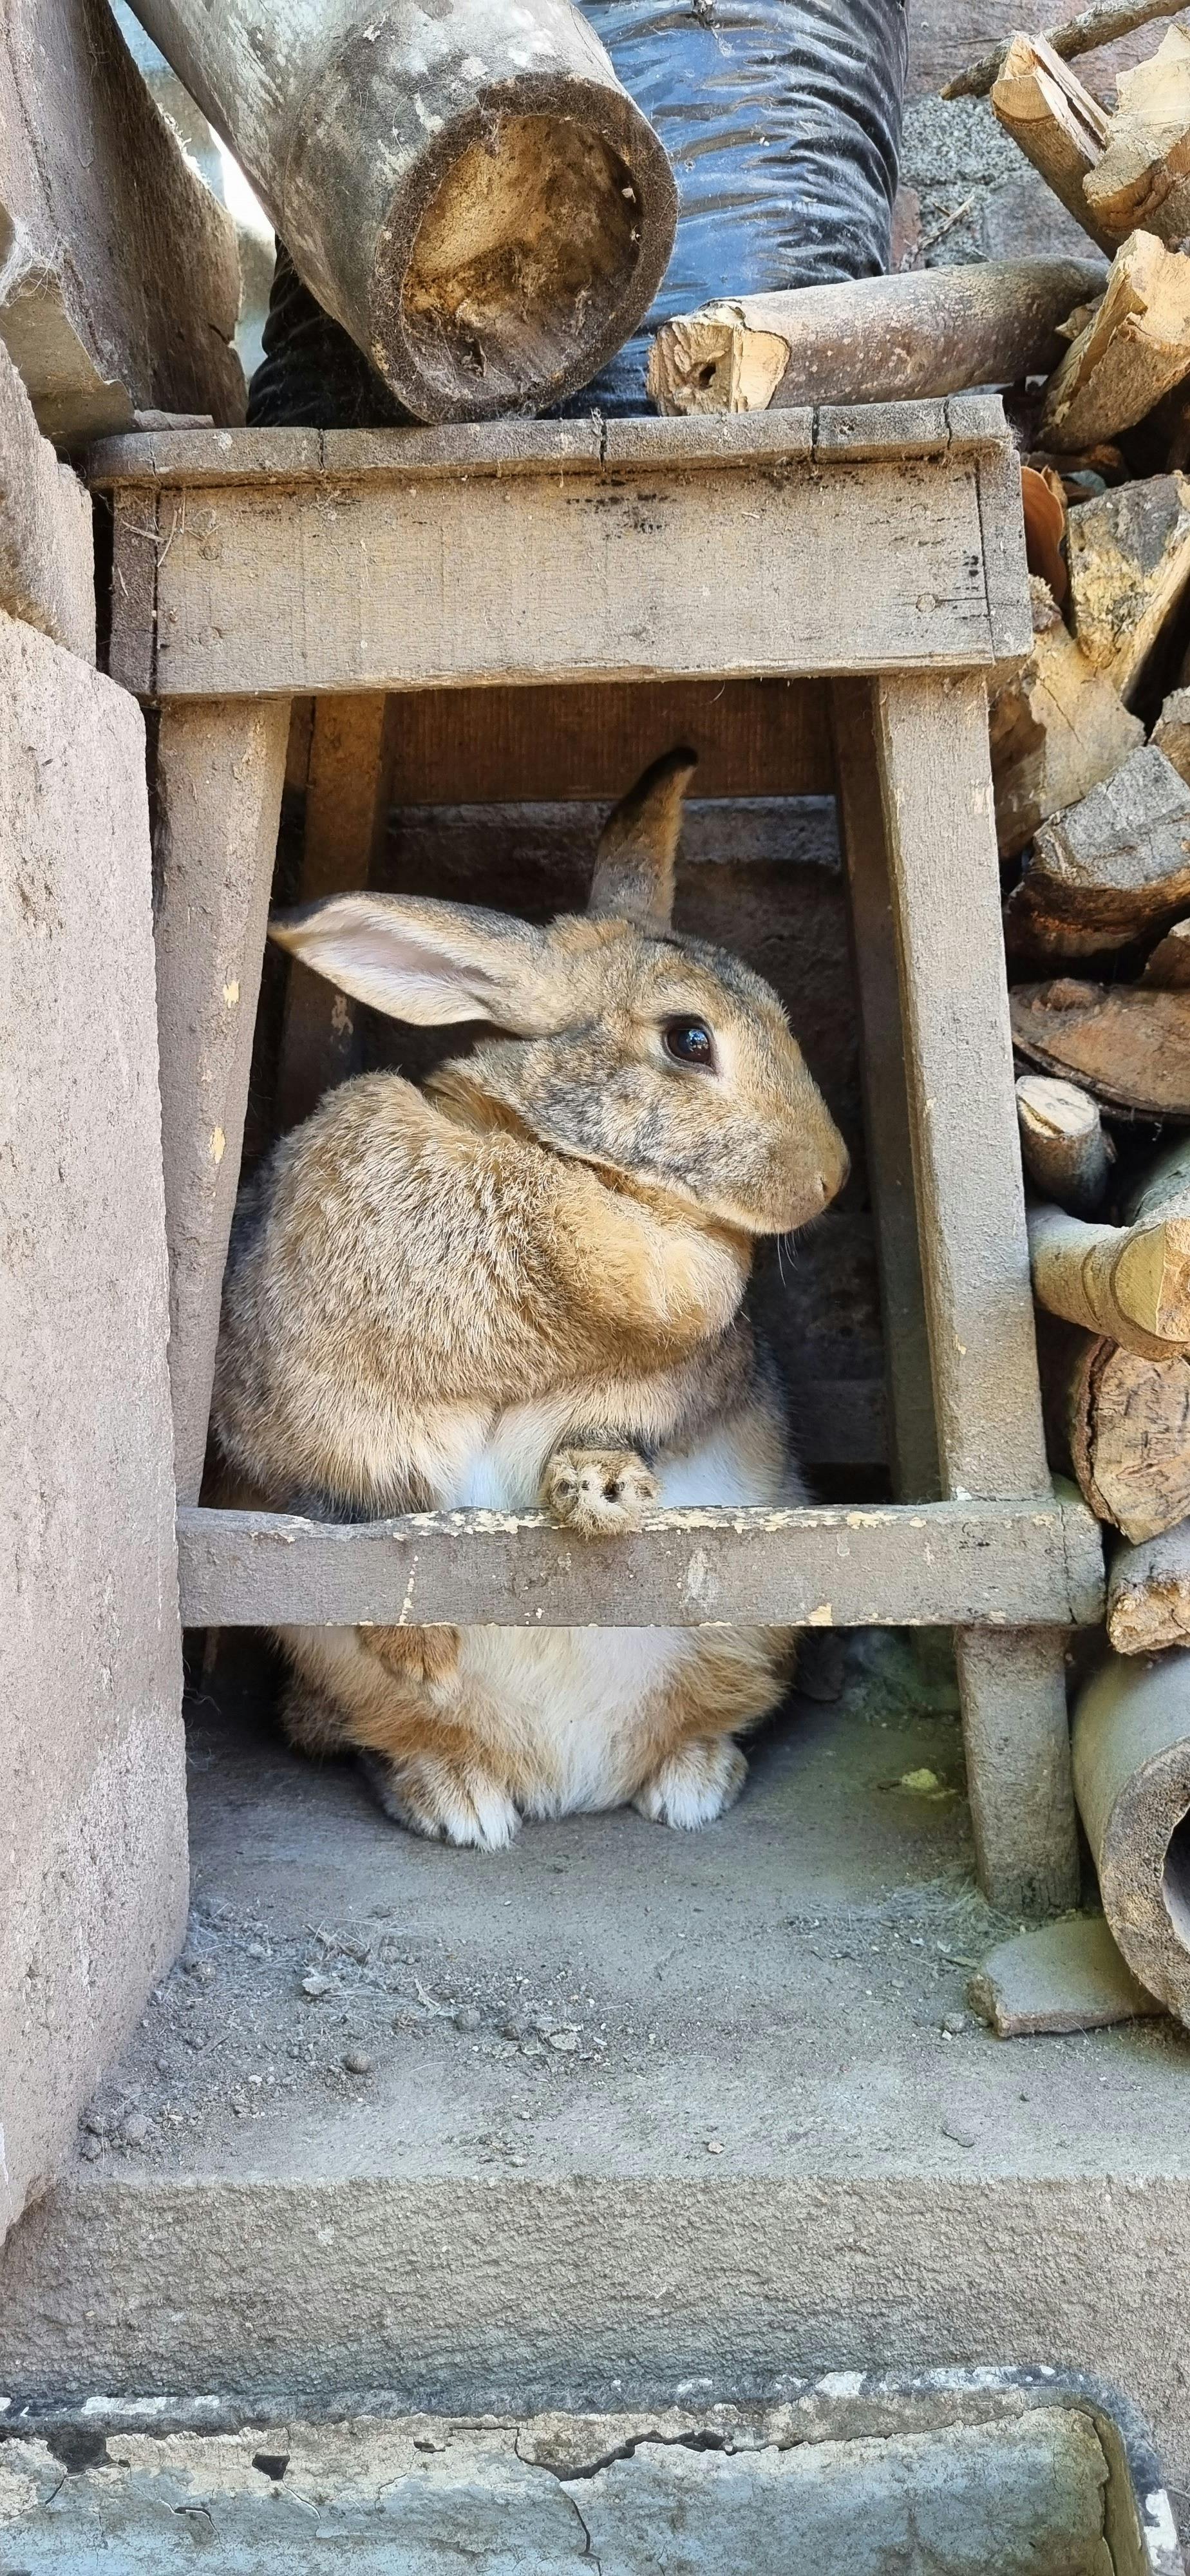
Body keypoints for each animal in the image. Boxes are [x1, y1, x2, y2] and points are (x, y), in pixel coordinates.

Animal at [212, 748, 849, 1849]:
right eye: (689, 1040)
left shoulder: (685, 1392)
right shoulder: (297, 1427)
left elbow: (624, 1433)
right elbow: (357, 1518)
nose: (831, 1177)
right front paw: (422, 1647)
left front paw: (600, 1491)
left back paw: (690, 1782)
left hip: (745, 1632)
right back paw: (459, 1799)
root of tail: (568, 1778)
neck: (564, 1167)